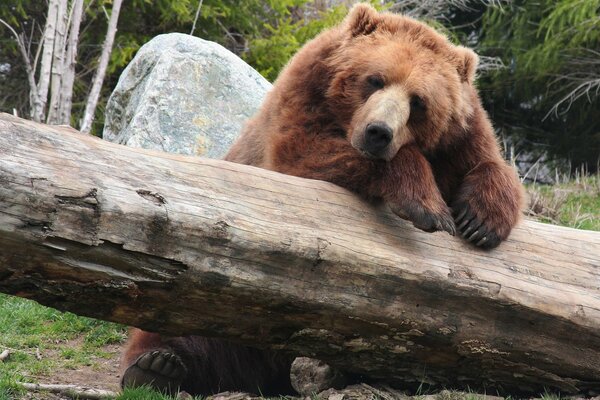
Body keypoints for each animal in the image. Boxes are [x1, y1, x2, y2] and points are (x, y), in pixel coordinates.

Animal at [122, 3, 524, 396]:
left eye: (419, 102)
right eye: (375, 79)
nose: (378, 133)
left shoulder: (461, 139)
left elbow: (490, 163)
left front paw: (481, 220)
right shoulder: (303, 101)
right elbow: (307, 155)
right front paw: (427, 205)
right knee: (189, 324)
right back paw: (157, 365)